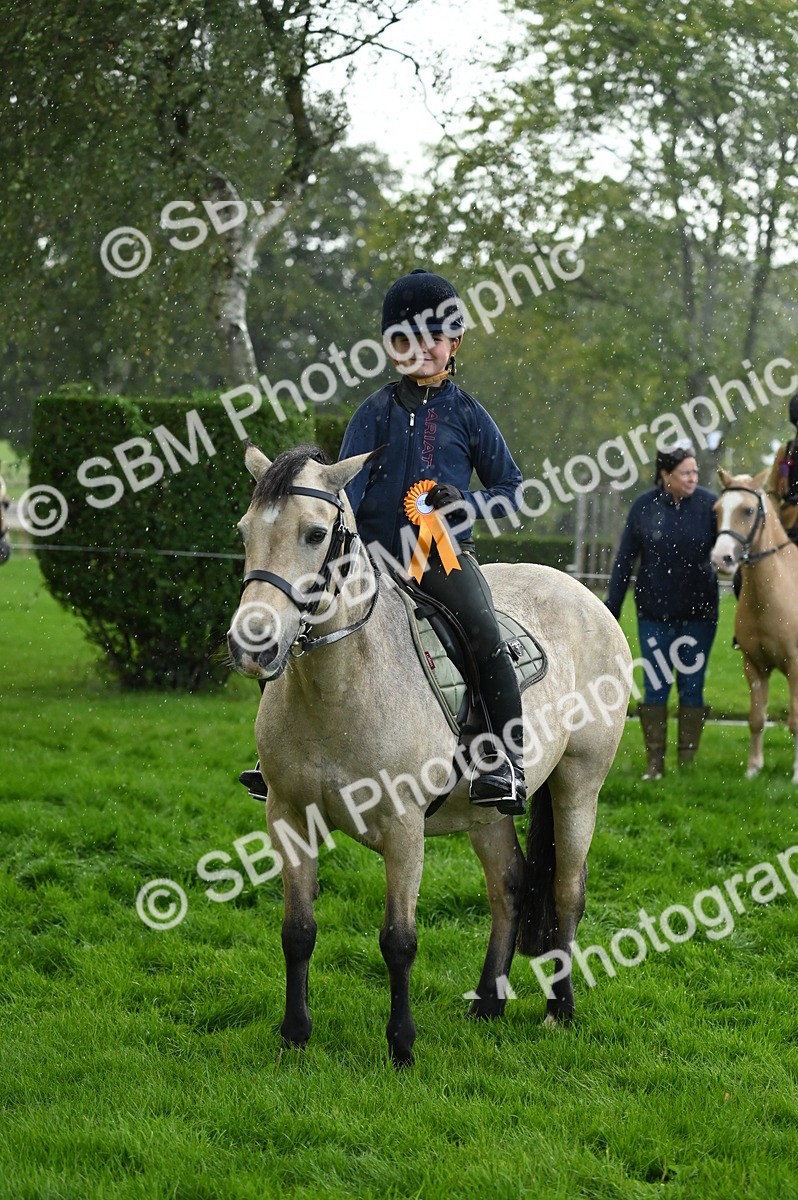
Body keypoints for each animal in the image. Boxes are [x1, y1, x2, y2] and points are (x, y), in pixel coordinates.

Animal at [226, 442, 632, 1065]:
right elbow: (297, 932)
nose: (252, 645)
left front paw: (402, 1045)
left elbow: (399, 941)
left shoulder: (403, 829)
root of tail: (587, 597)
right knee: (509, 885)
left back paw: (559, 1010)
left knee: (567, 890)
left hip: (579, 785)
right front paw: (294, 1035)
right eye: (245, 531)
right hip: (488, 812)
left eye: (314, 534)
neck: (341, 685)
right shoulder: (288, 816)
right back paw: (488, 1003)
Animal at [711, 468, 798, 783]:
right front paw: (753, 768)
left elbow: (795, 719)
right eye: (716, 511)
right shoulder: (754, 664)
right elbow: (756, 718)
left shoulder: (795, 665)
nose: (721, 558)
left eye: (748, 510)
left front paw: (796, 775)